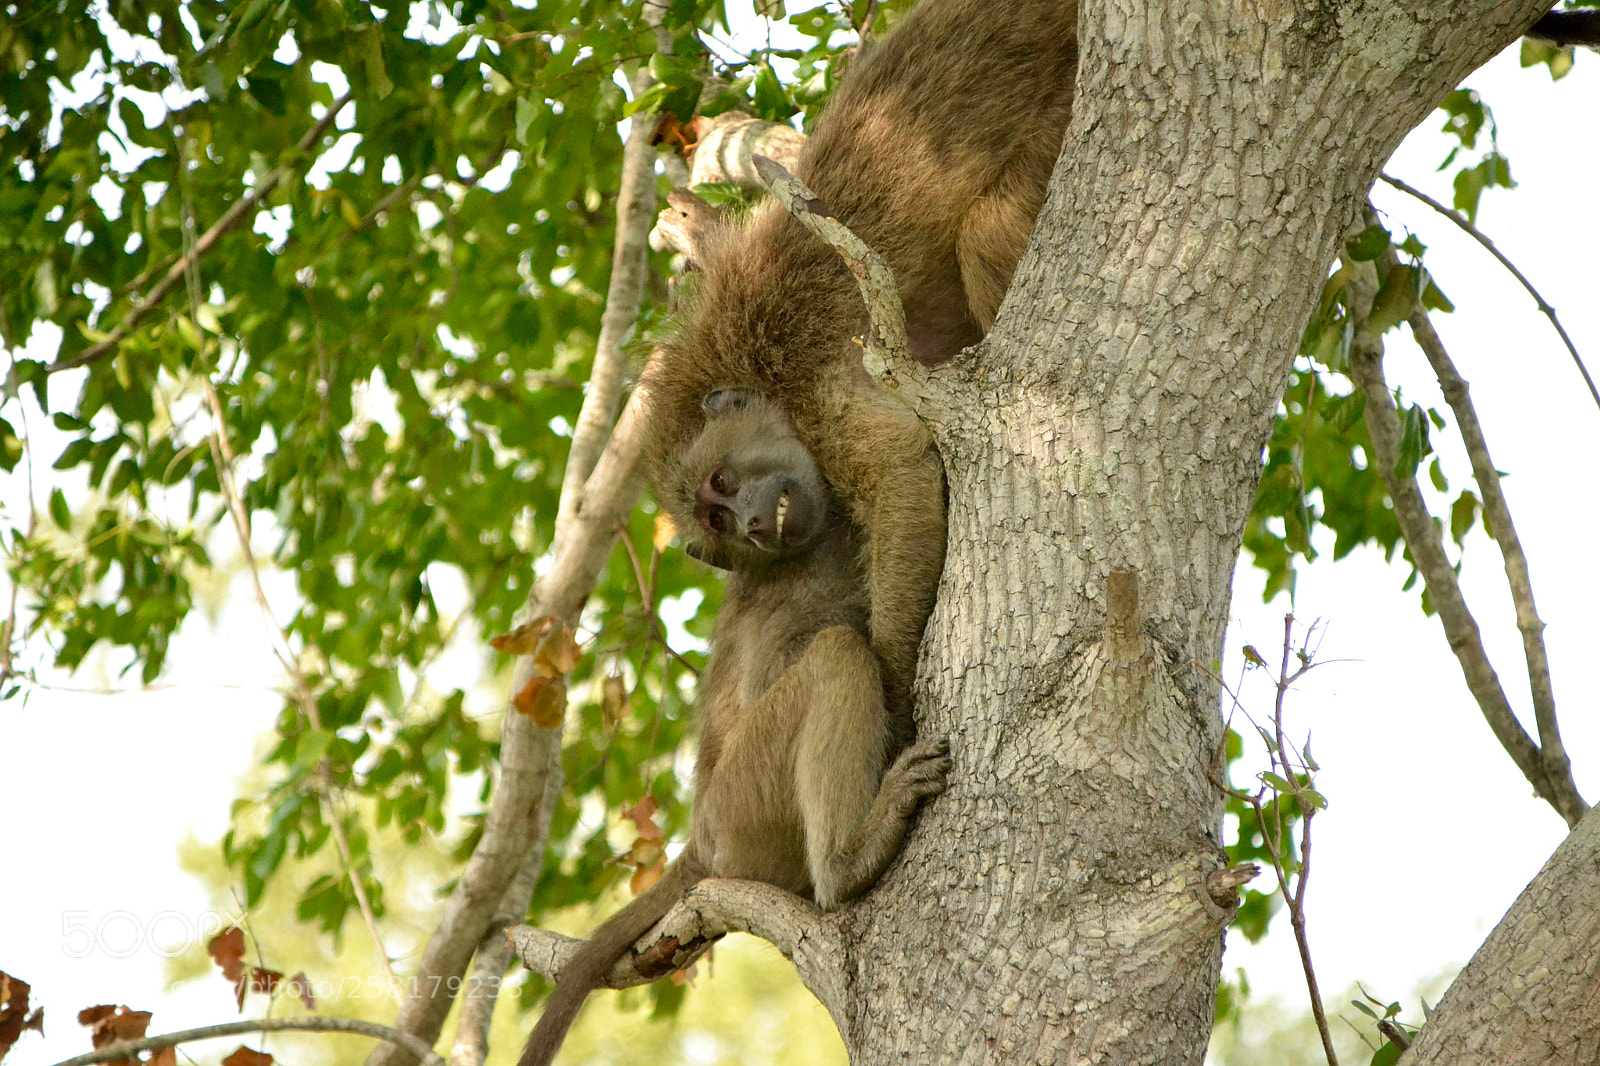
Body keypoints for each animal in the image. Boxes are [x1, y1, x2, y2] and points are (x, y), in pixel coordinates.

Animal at [518, 391, 953, 1066]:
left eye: (721, 488)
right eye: (716, 517)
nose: (750, 522)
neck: (819, 540)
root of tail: (700, 833)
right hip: (745, 802)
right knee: (837, 654)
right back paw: (852, 858)